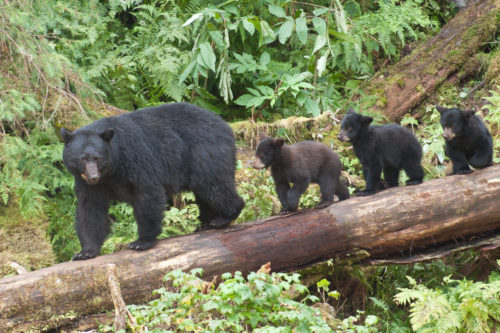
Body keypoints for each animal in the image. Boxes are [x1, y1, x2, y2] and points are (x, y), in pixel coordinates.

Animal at [60, 102, 244, 260]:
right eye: (82, 159)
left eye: (97, 158)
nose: (93, 177)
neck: (112, 169)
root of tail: (225, 126)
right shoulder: (90, 184)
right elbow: (91, 209)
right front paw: (85, 251)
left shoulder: (135, 158)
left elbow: (147, 193)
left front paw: (141, 242)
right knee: (205, 193)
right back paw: (206, 223)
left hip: (204, 153)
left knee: (214, 185)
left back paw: (224, 217)